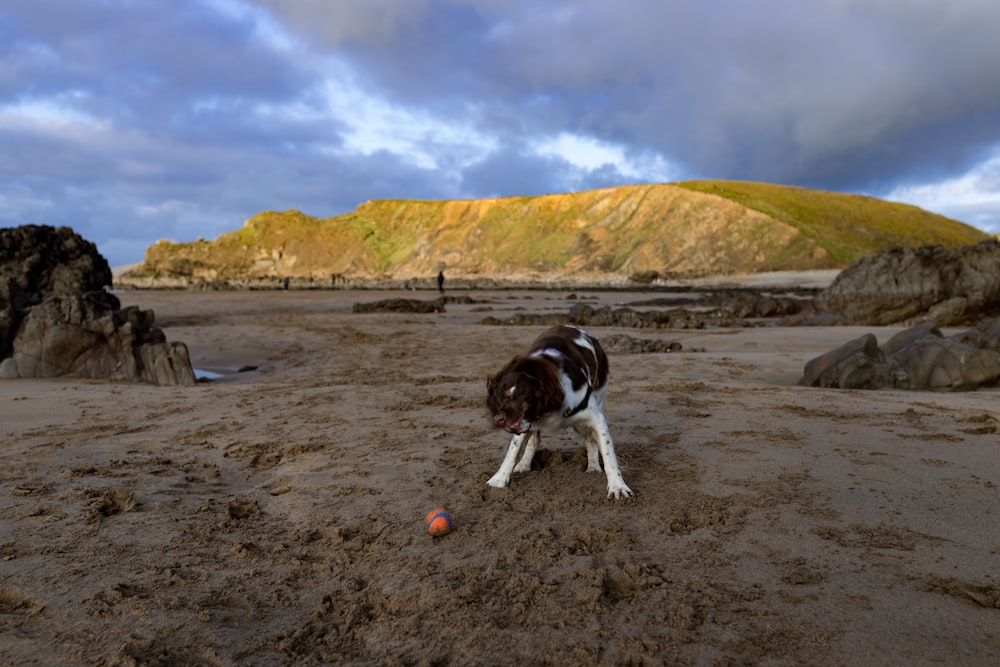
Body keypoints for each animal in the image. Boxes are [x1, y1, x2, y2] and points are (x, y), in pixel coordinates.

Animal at [484, 326, 632, 498]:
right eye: (499, 398)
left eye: (512, 391)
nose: (498, 418)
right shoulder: (525, 422)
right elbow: (512, 452)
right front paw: (499, 479)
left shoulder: (596, 419)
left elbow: (609, 456)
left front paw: (617, 486)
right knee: (533, 441)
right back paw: (524, 464)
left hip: (585, 416)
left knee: (591, 441)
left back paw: (594, 466)